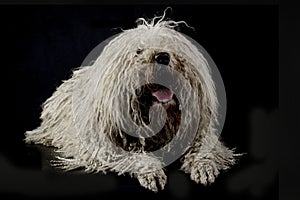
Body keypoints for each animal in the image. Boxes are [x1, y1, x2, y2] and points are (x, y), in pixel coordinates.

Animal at [25, 12, 239, 192]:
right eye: (138, 51)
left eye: (171, 47)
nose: (163, 56)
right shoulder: (107, 146)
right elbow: (136, 156)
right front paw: (152, 173)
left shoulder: (199, 134)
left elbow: (204, 149)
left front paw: (204, 167)